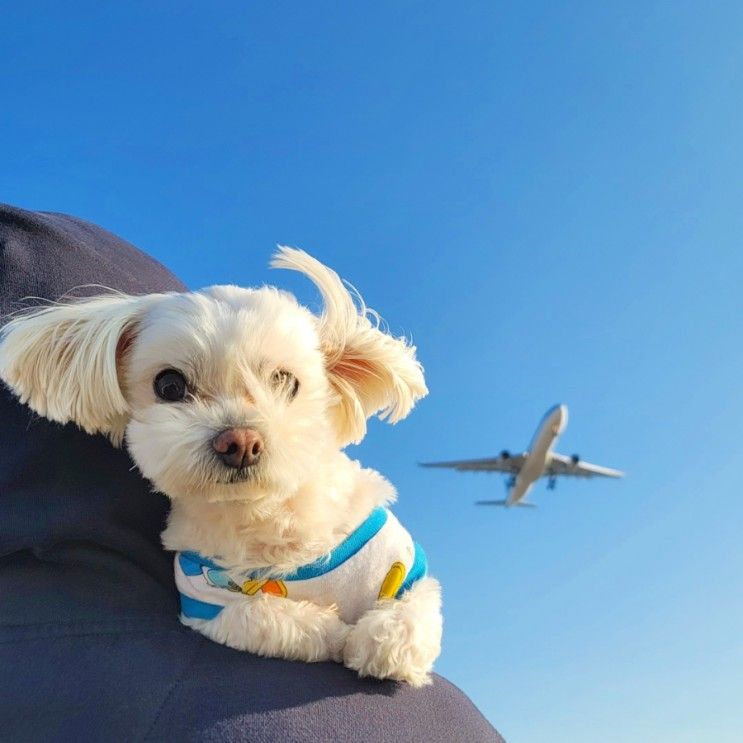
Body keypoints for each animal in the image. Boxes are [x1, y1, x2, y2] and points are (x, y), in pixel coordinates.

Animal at [0, 248, 442, 684]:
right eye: (170, 385)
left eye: (285, 380)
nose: (240, 442)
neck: (261, 520)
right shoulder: (206, 599)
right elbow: (260, 615)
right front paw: (330, 630)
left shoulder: (398, 564)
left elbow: (416, 606)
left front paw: (383, 641)